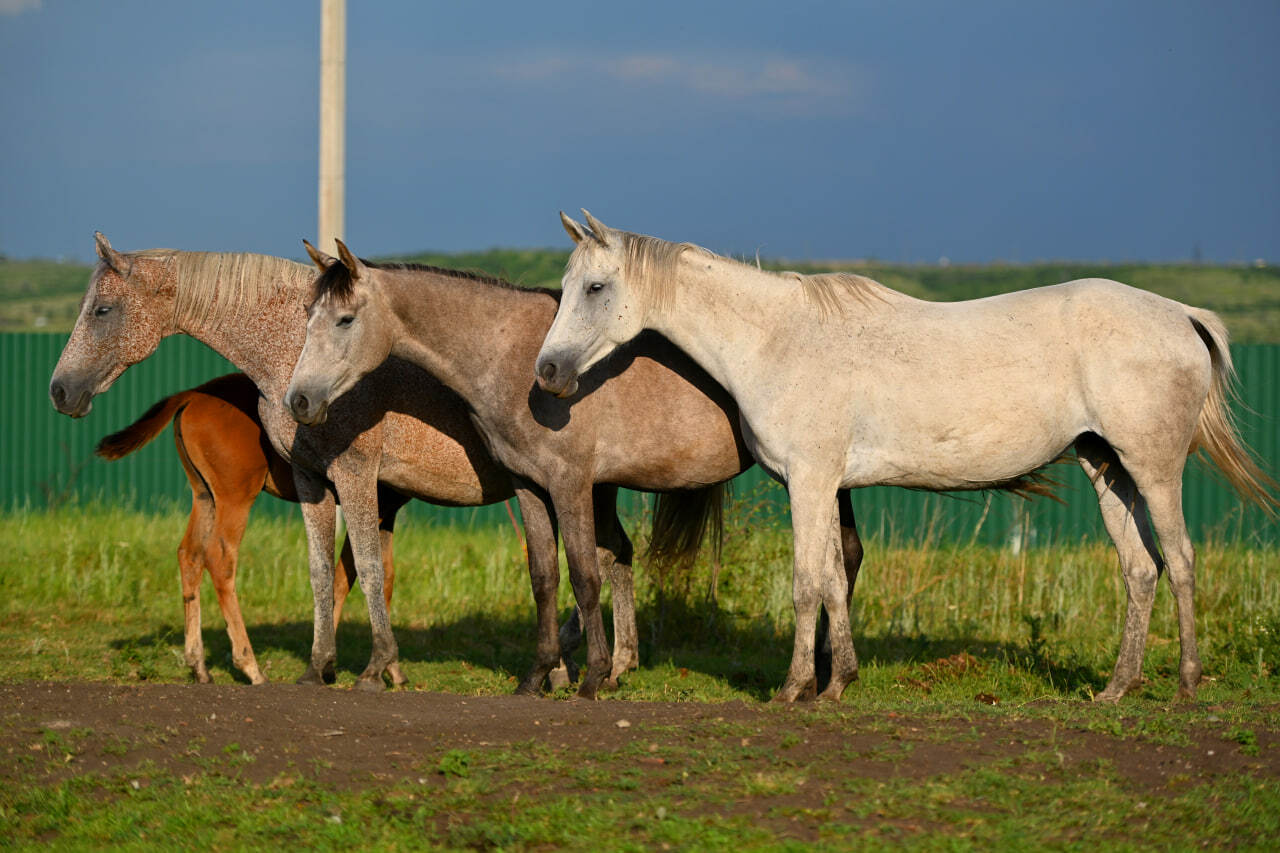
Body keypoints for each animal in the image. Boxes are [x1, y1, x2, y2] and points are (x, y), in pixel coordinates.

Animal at [280, 240, 860, 696]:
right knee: (841, 557)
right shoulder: (529, 486)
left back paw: (823, 671)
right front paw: (538, 676)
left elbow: (584, 573)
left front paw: (591, 676)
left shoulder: (571, 483)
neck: (513, 358)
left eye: (345, 319)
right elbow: (544, 575)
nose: (300, 401)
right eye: (305, 316)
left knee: (839, 559)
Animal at [535, 208, 1274, 701]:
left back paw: (1185, 684)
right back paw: (1117, 688)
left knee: (1180, 562)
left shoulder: (809, 482)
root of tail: (1182, 314)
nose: (547, 370)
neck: (779, 338)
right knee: (1141, 570)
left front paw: (795, 688)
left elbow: (806, 583)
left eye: (595, 288)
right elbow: (834, 579)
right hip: (1108, 468)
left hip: (1154, 468)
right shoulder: (826, 484)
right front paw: (837, 683)